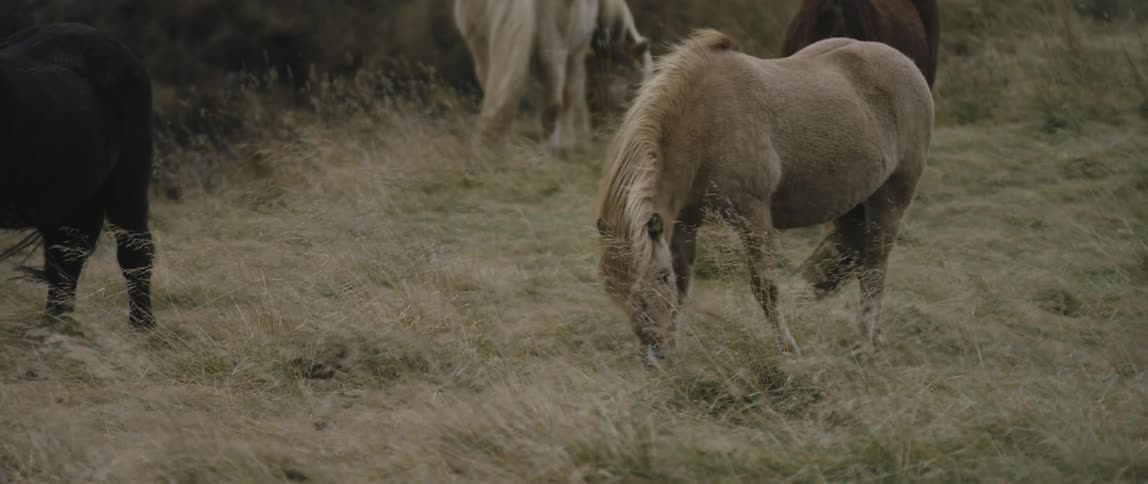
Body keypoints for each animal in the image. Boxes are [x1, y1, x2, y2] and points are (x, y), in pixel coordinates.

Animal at [453, 0, 653, 153]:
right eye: (634, 90)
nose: (613, 136)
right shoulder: (577, 49)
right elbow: (569, 96)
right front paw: (566, 145)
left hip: (482, 42)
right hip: (554, 40)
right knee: (553, 102)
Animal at [595, 30, 933, 362]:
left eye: (660, 276)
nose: (656, 352)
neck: (706, 123)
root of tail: (906, 64)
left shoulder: (752, 214)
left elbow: (764, 285)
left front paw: (786, 348)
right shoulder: (684, 224)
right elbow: (684, 282)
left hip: (891, 197)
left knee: (875, 266)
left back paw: (868, 344)